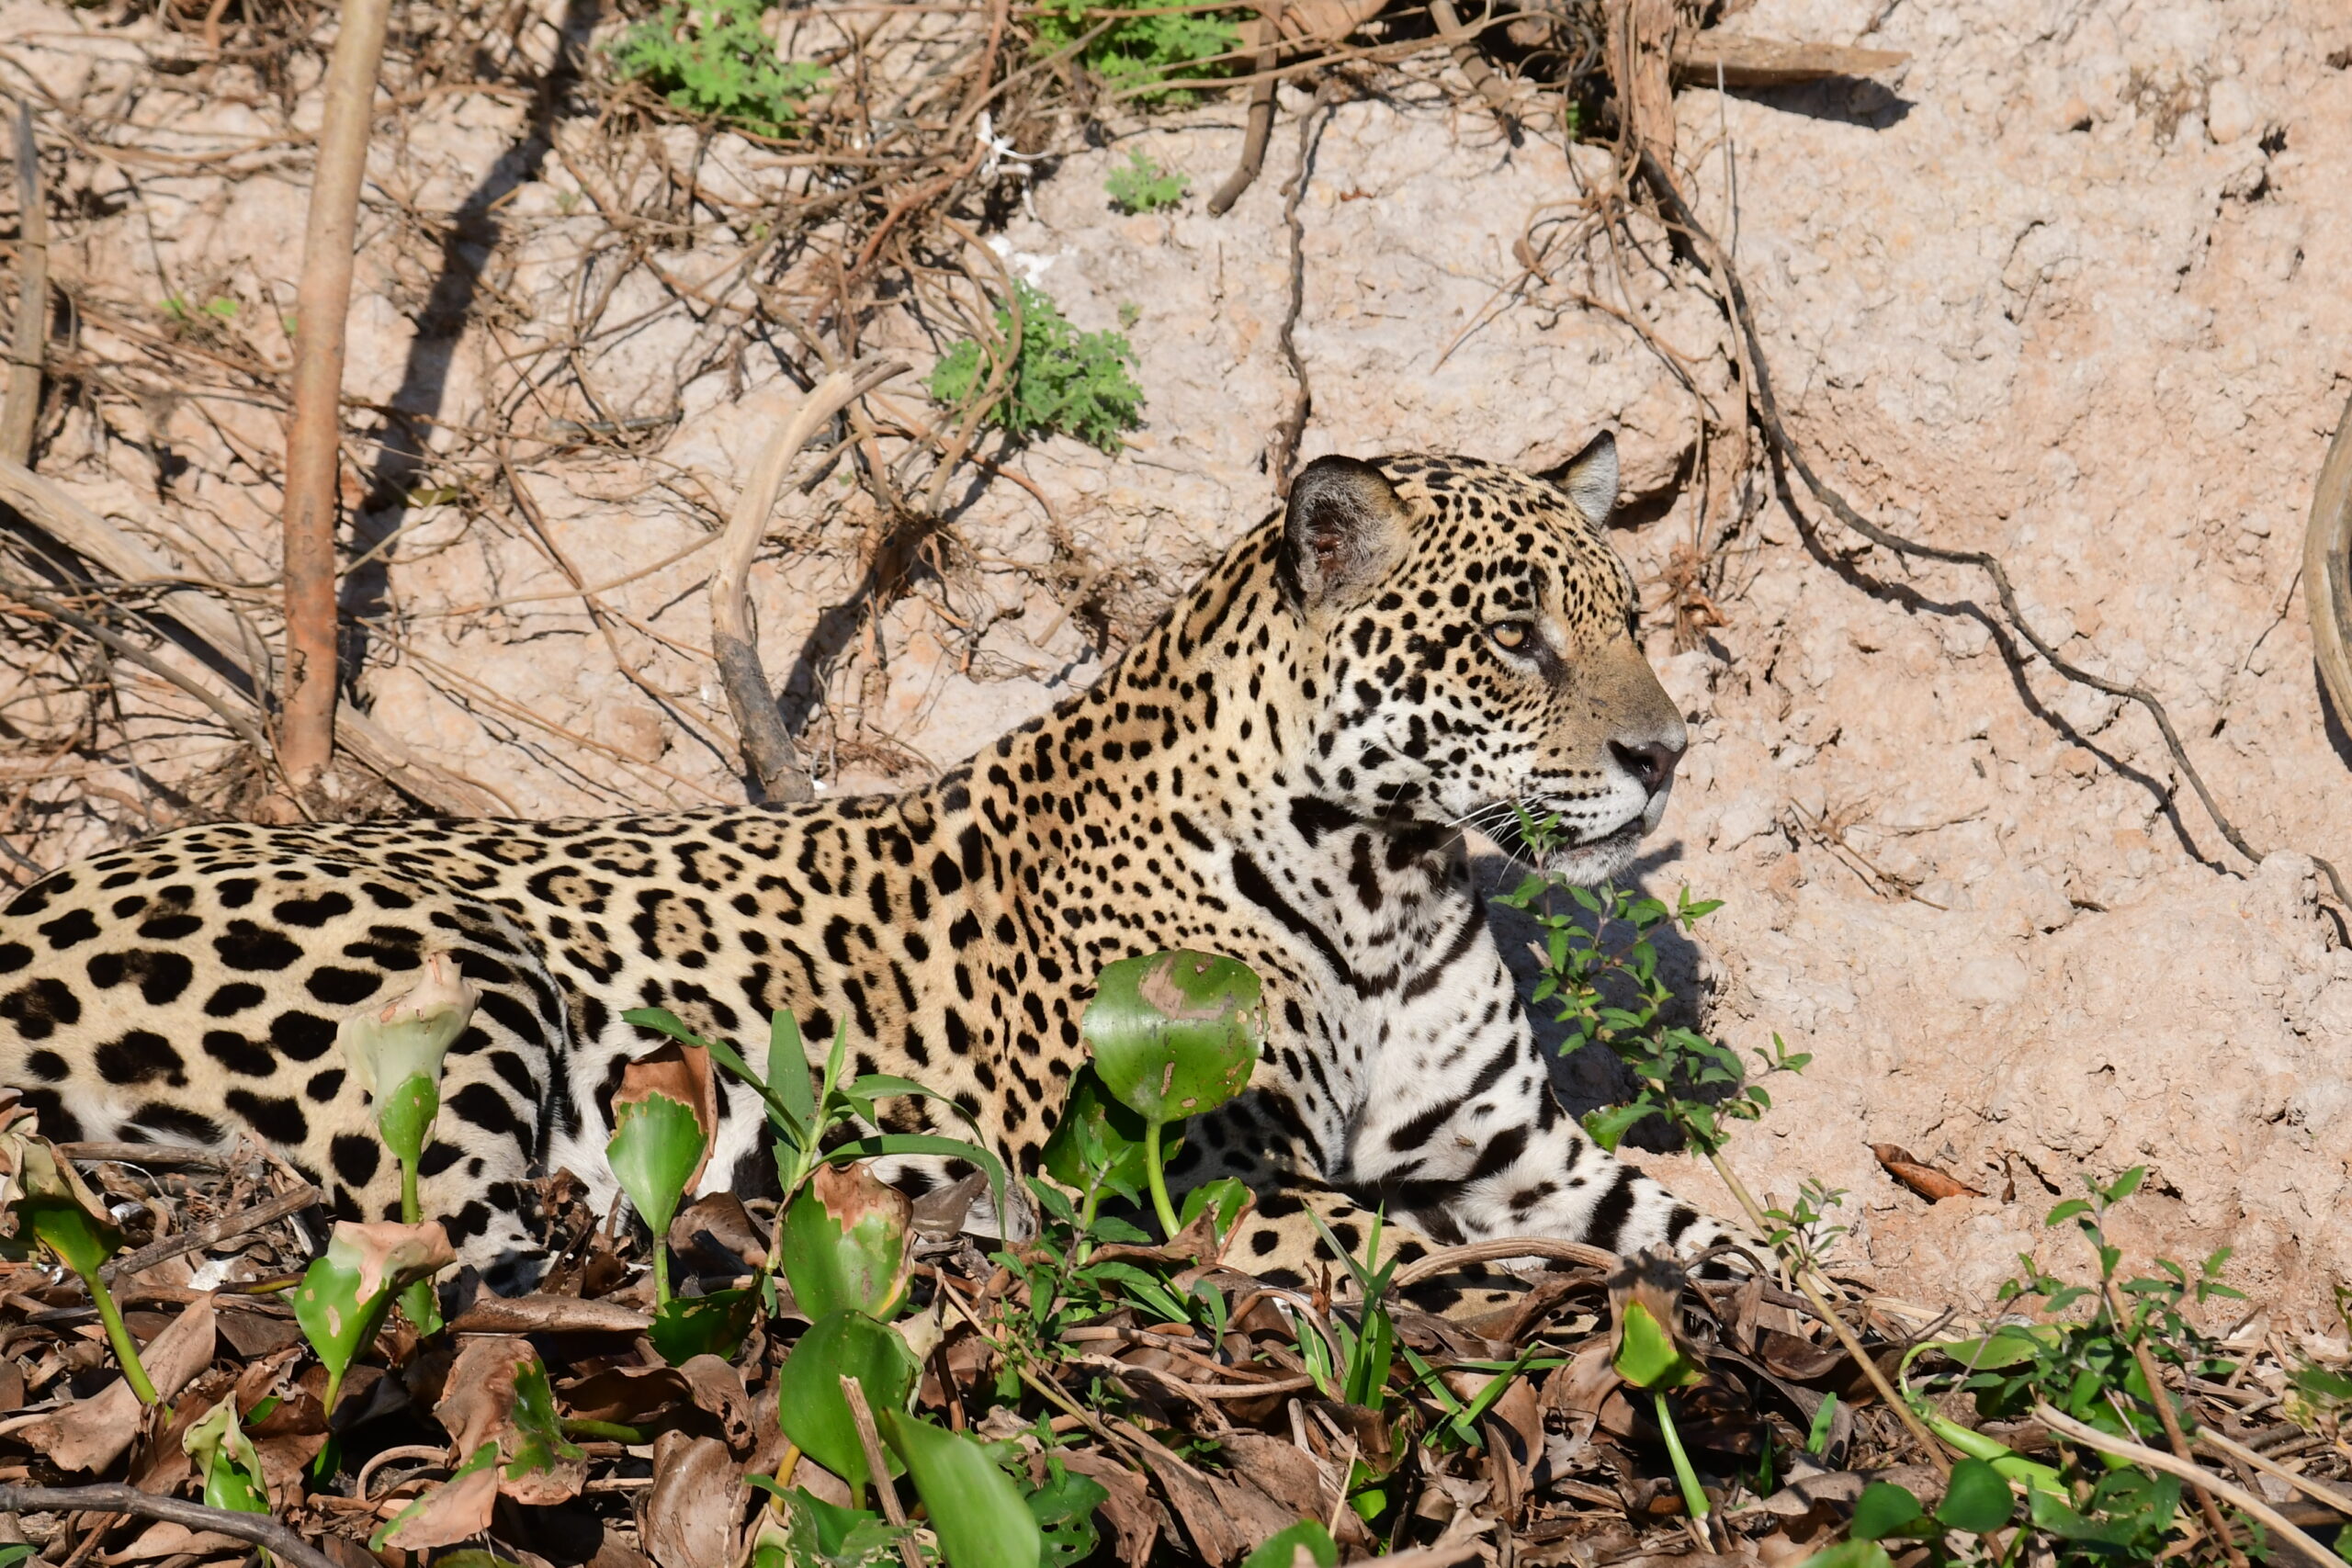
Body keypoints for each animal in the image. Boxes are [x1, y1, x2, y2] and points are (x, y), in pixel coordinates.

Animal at [0, 434, 1731, 1300]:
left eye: (1629, 616)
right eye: (1514, 638)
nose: (1670, 752)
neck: (1388, 878)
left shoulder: (1531, 1156)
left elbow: (1711, 1241)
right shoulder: (1171, 1163)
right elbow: (1415, 1246)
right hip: (448, 969)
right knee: (442, 1257)